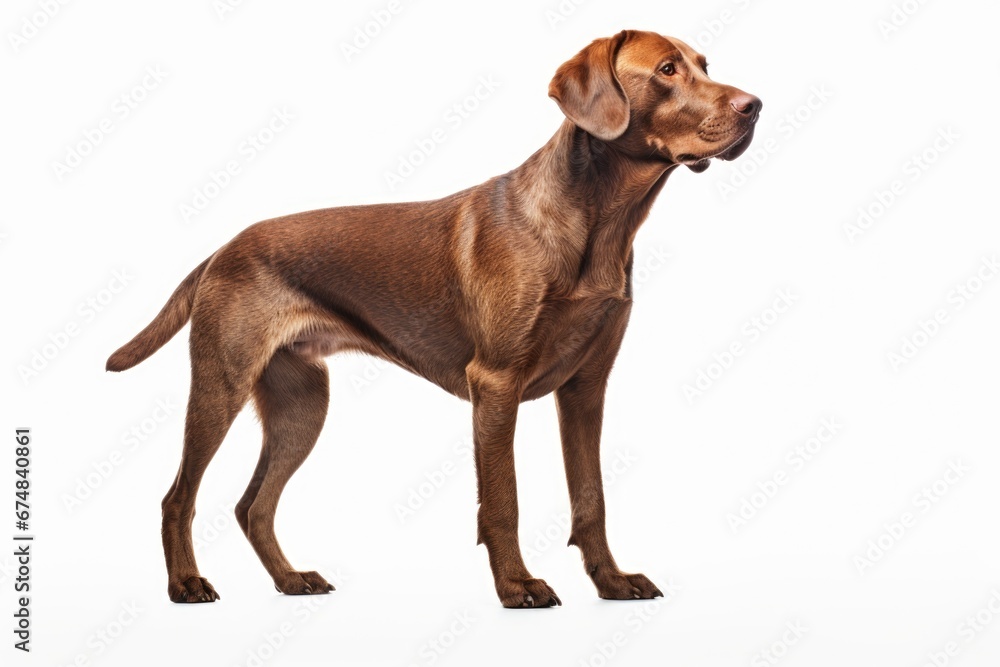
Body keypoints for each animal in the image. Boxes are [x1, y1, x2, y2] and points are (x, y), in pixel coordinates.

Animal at [109, 31, 756, 608]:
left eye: (704, 64)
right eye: (668, 69)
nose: (756, 106)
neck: (599, 224)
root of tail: (224, 247)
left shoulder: (585, 388)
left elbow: (591, 499)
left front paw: (612, 583)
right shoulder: (496, 385)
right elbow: (503, 500)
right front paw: (517, 586)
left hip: (302, 402)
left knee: (254, 505)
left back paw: (291, 580)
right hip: (222, 383)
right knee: (178, 497)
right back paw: (186, 584)